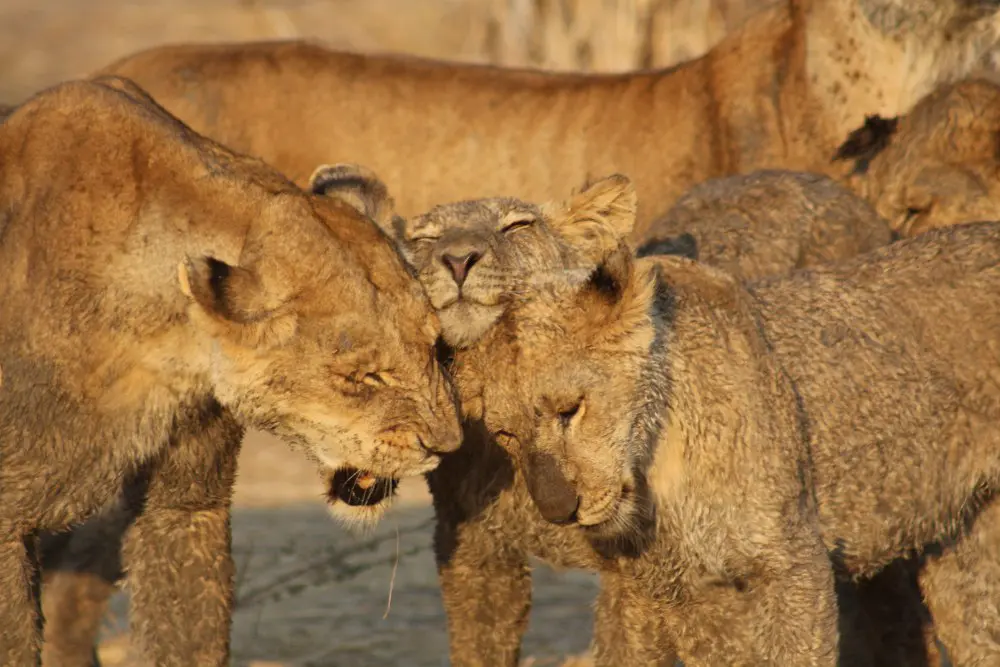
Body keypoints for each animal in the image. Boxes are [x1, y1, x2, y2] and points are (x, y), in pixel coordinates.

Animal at [487, 215, 1000, 665]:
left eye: (570, 409)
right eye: (506, 434)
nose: (559, 509)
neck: (657, 469)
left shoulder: (794, 565)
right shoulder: (678, 595)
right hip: (966, 547)